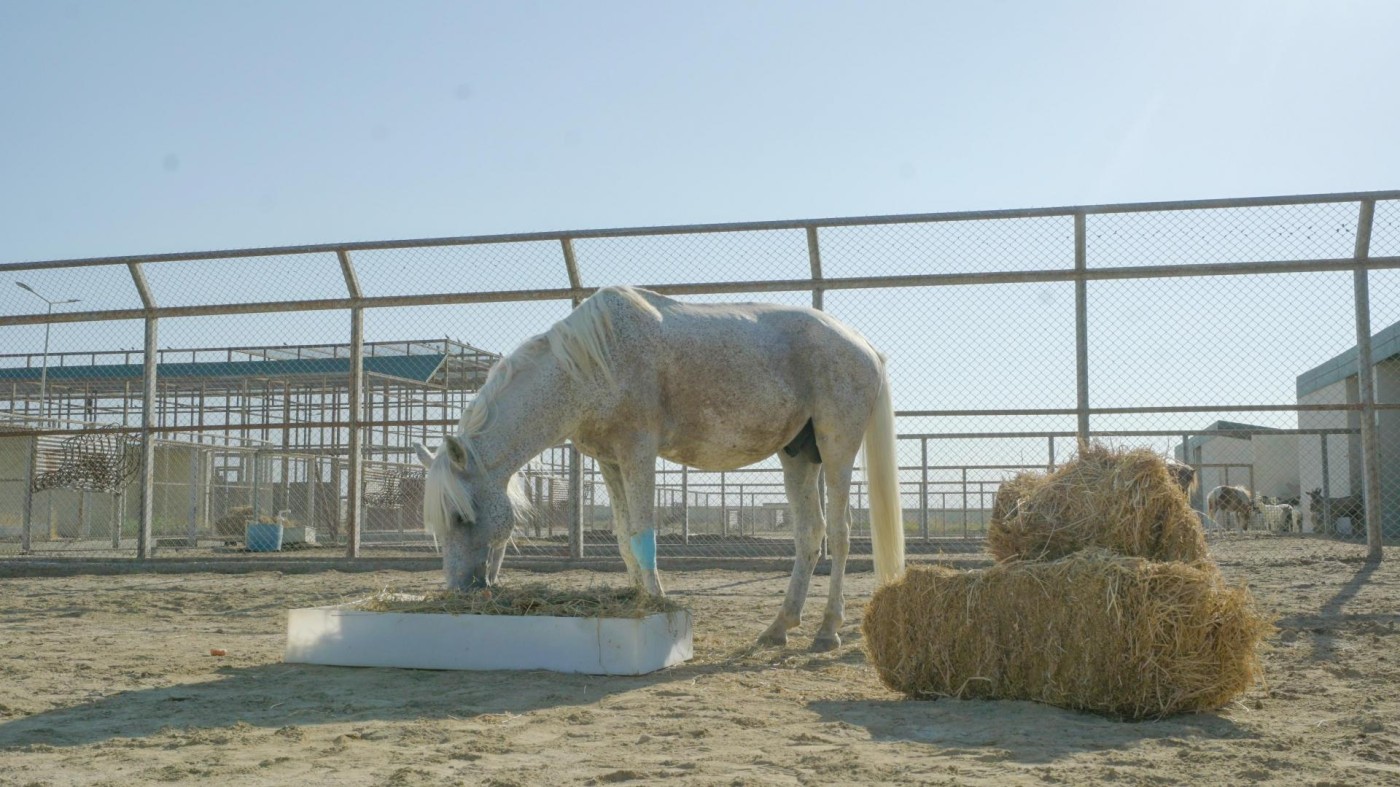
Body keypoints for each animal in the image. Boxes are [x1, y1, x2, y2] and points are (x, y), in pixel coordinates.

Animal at [414, 284, 901, 646]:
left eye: (462, 516)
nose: (460, 589)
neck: (588, 366)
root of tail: (866, 348)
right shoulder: (609, 461)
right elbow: (623, 539)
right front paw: (637, 596)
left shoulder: (638, 453)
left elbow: (642, 532)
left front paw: (655, 604)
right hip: (797, 456)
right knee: (809, 534)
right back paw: (780, 627)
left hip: (836, 449)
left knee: (840, 533)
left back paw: (827, 630)